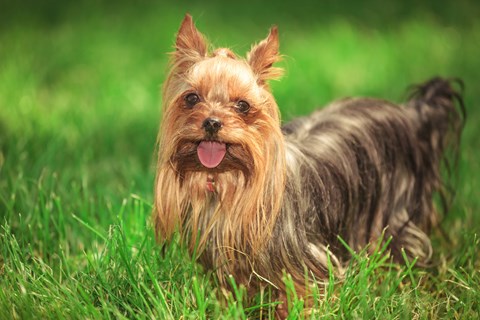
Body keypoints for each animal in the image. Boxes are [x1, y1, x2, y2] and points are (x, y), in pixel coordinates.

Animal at [152, 13, 464, 314]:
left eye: (243, 105)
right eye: (191, 98)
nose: (212, 123)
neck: (229, 180)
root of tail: (412, 112)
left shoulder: (306, 258)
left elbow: (303, 291)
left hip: (392, 214)